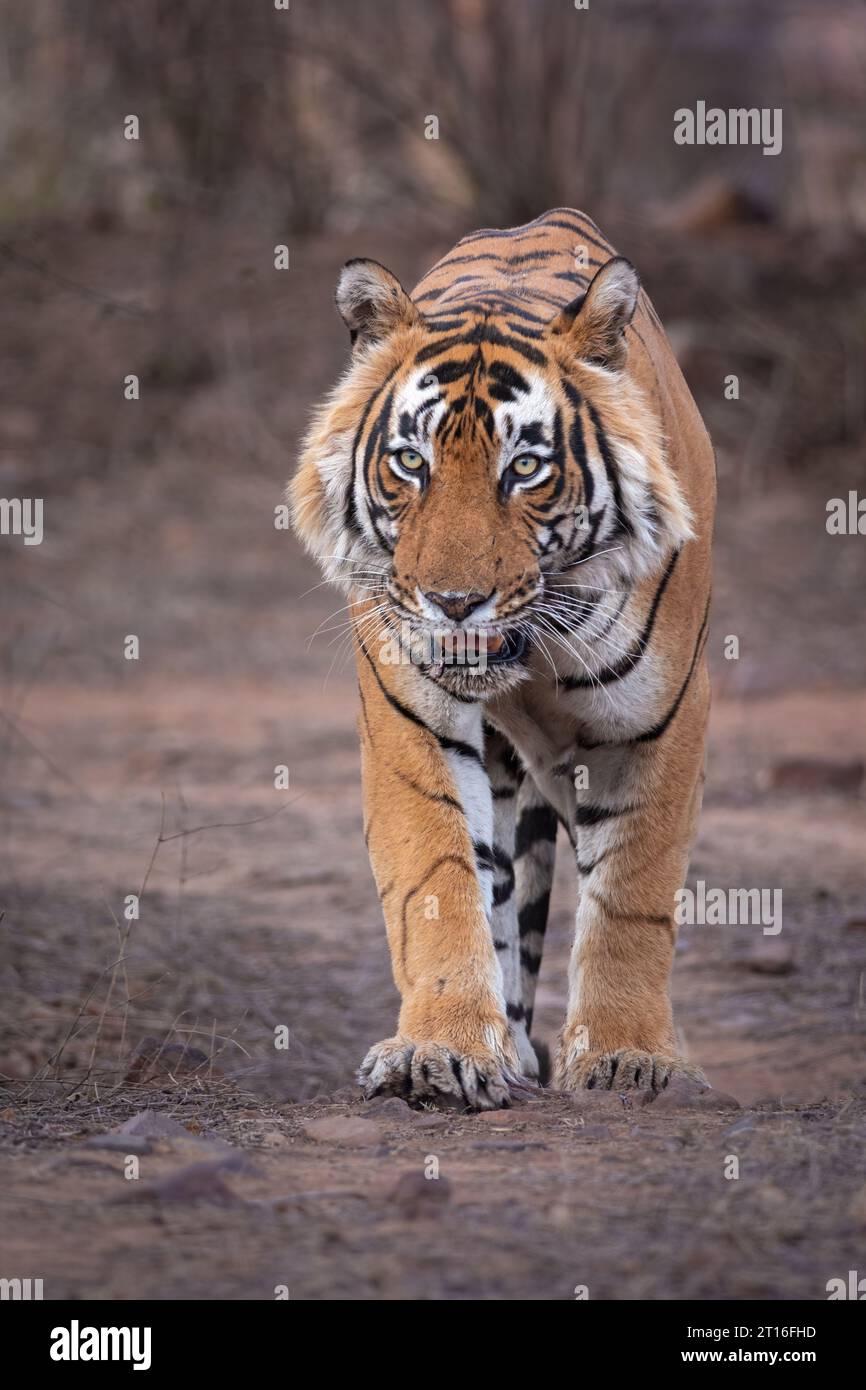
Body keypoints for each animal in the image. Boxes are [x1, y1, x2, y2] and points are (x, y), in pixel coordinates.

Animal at [287, 205, 717, 1106]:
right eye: (409, 462)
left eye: (524, 469)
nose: (452, 602)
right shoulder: (410, 710)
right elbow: (437, 879)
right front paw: (441, 1050)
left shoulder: (662, 718)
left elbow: (633, 894)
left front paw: (628, 1055)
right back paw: (509, 1047)